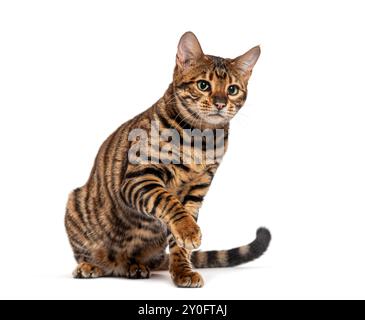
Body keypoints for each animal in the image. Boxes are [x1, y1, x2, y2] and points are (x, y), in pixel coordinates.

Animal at [64, 31, 270, 288]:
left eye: (232, 89)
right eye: (204, 85)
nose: (221, 103)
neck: (201, 141)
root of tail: (116, 264)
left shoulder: (197, 190)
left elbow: (179, 241)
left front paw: (183, 270)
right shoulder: (140, 177)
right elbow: (168, 201)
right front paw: (189, 231)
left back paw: (136, 267)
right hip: (75, 203)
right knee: (84, 254)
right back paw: (90, 266)